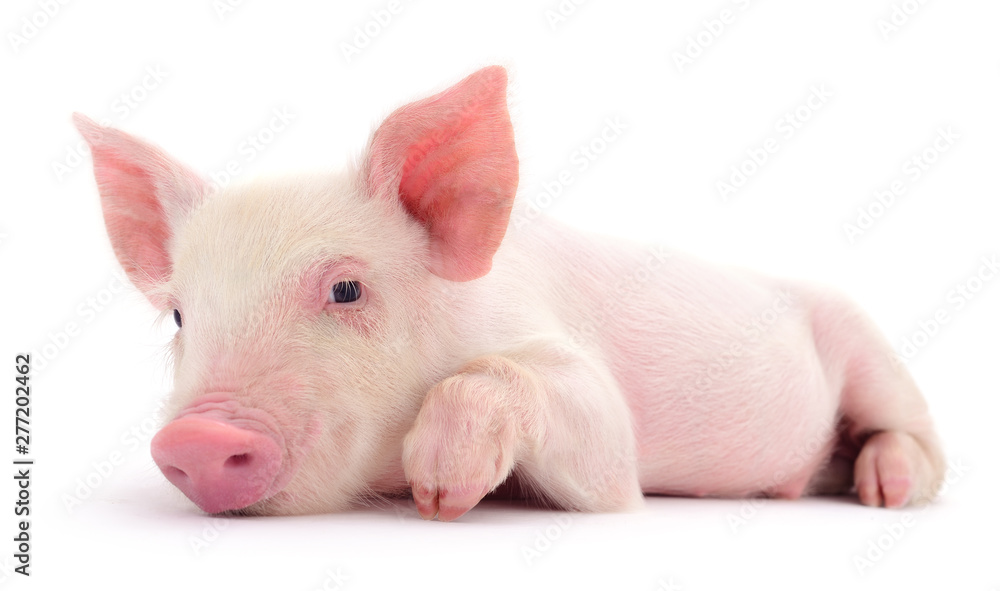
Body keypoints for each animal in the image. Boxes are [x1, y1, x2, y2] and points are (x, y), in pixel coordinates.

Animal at [73, 66, 945, 521]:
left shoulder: (585, 395)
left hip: (866, 343)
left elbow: (595, 443)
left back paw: (888, 491)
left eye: (346, 287)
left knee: (918, 438)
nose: (194, 437)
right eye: (181, 313)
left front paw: (442, 494)